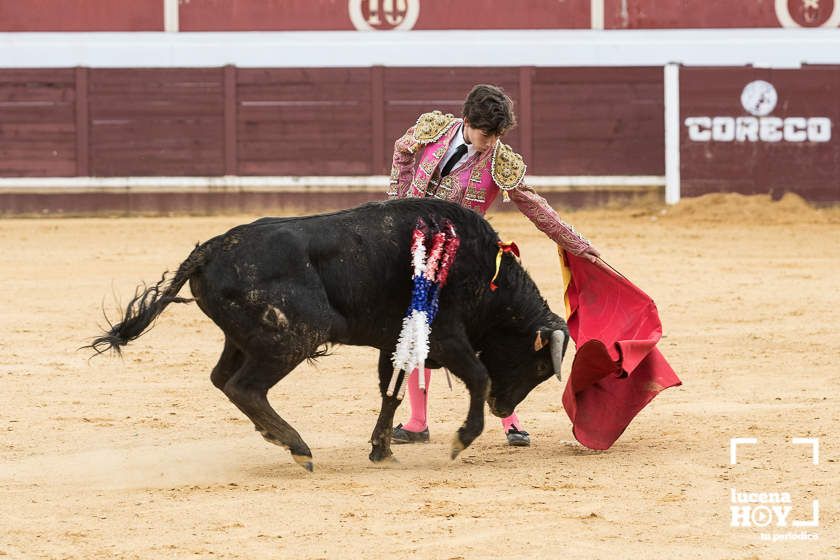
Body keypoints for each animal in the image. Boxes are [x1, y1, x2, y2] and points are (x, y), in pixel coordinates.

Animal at [90, 199, 572, 470]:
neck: (484, 275)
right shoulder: (446, 338)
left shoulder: (395, 341)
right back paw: (298, 446)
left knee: (222, 379)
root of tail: (209, 249)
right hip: (296, 335)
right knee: (244, 386)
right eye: (537, 367)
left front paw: (382, 449)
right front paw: (461, 440)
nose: (503, 408)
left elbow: (392, 391)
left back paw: (277, 436)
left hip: (245, 338)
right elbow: (478, 375)